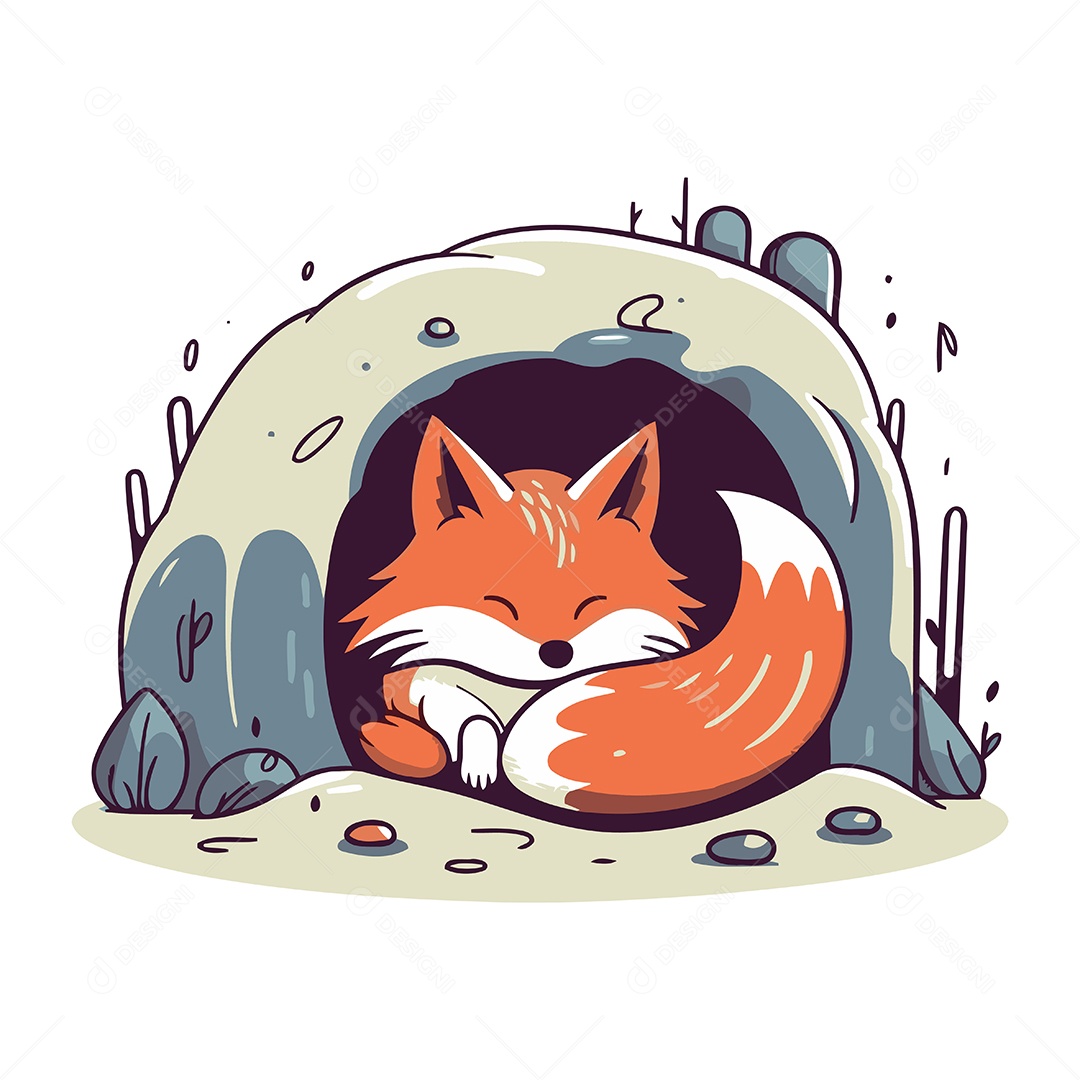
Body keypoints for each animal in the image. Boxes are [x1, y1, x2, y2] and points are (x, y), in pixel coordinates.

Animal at [340, 415, 848, 815]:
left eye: (591, 603)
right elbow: (470, 717)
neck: (520, 692)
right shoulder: (414, 681)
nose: (556, 653)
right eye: (501, 603)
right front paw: (479, 758)